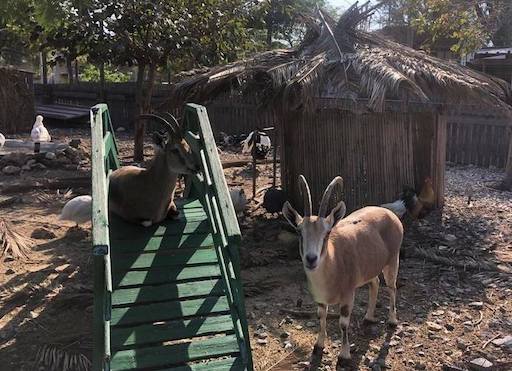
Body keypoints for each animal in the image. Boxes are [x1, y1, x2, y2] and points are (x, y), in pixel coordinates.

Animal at [280, 177, 404, 364]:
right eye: (299, 232)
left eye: (327, 233)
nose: (311, 259)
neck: (333, 264)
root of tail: (390, 214)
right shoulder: (321, 299)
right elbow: (321, 316)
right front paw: (318, 346)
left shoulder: (347, 295)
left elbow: (343, 323)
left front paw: (344, 355)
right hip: (369, 267)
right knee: (374, 283)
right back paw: (368, 317)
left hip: (392, 260)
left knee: (391, 287)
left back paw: (392, 320)